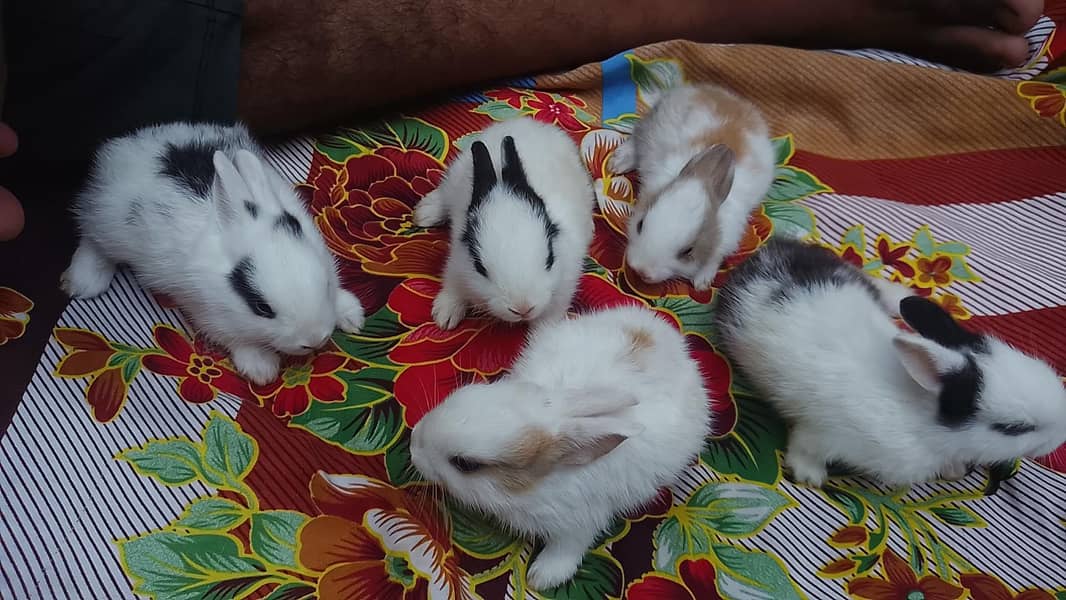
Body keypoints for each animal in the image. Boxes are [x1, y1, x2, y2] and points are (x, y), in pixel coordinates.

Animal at [61, 122, 365, 385]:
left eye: (326, 284)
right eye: (262, 308)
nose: (314, 340)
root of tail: (127, 144)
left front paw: (353, 316)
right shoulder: (209, 314)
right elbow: (236, 339)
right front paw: (261, 369)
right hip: (109, 225)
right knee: (91, 234)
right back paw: (83, 282)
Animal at [410, 305, 712, 590]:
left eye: (465, 464)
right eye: (462, 392)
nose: (413, 445)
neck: (534, 488)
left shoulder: (580, 522)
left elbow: (568, 548)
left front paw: (540, 578)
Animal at [413, 118, 594, 330]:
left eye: (550, 259)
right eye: (479, 267)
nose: (522, 308)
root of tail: (526, 122)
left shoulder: (565, 286)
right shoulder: (457, 260)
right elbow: (453, 283)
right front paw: (445, 316)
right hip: (455, 177)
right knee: (444, 195)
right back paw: (425, 213)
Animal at [609, 83, 775, 290]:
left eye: (688, 251)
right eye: (640, 224)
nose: (641, 269)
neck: (704, 176)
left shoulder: (728, 236)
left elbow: (715, 257)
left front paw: (701, 282)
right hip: (652, 128)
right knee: (637, 134)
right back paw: (619, 162)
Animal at [713, 237, 1066, 488]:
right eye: (1014, 428)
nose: (1061, 436)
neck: (922, 416)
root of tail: (769, 251)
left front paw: (954, 470)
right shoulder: (826, 431)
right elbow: (806, 445)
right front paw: (809, 475)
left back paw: (901, 294)